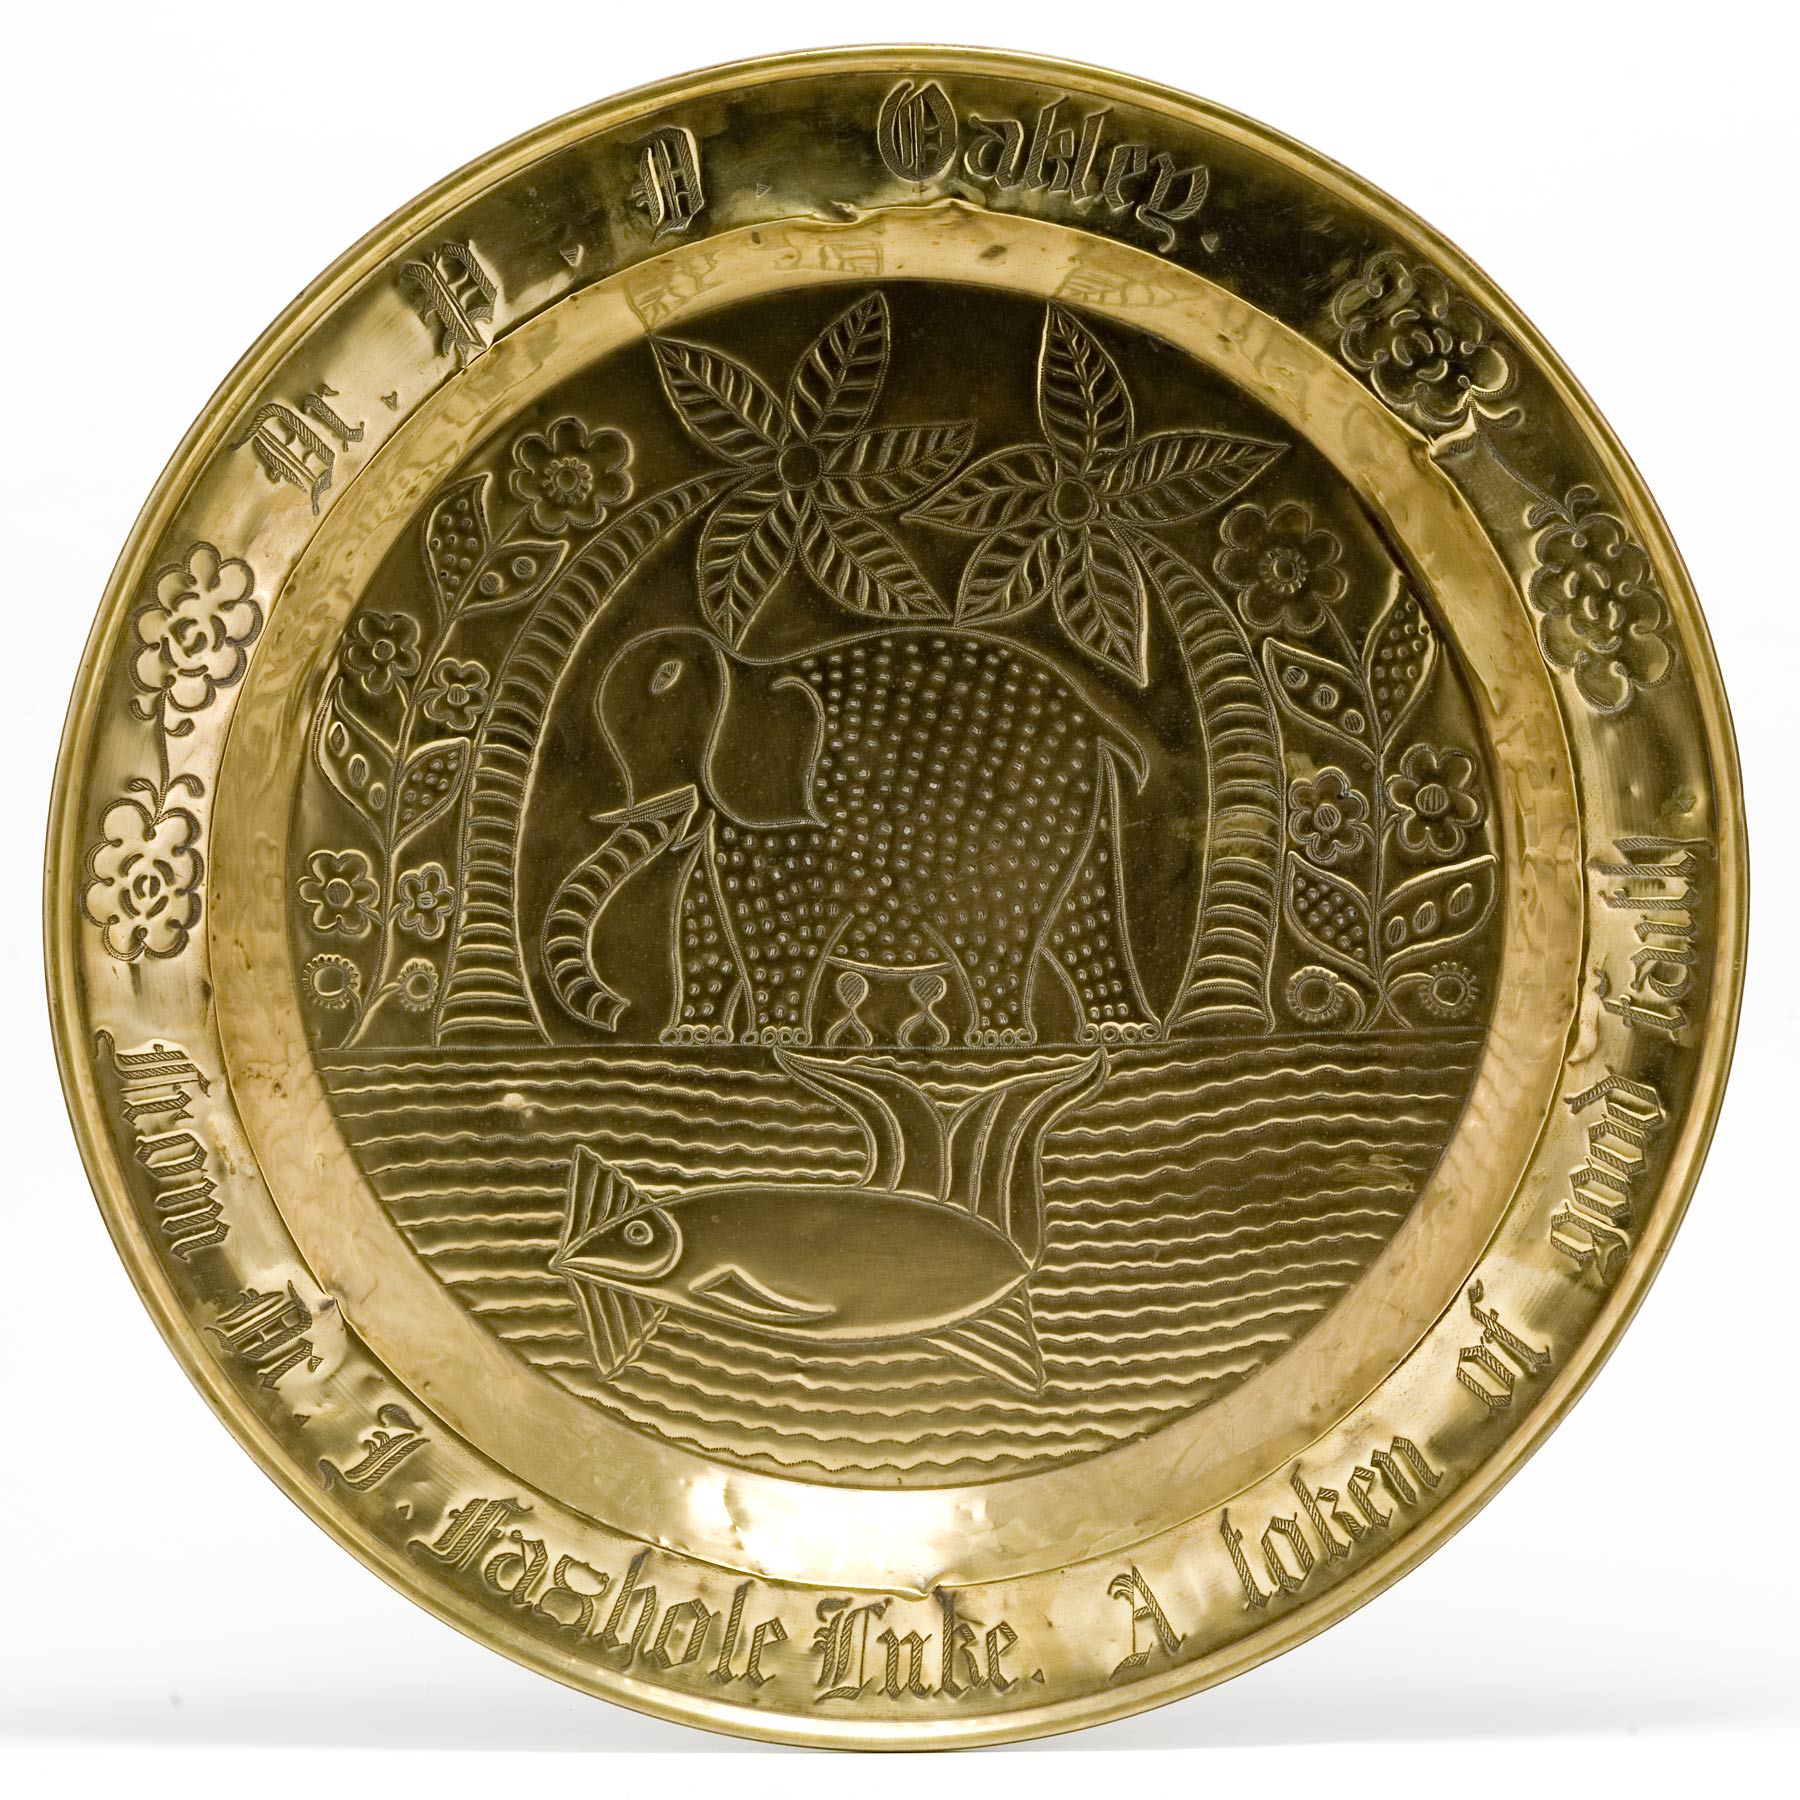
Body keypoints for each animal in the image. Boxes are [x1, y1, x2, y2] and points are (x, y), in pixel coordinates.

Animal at [541, 625, 1161, 1047]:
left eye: (665, 682)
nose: (616, 1011)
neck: (749, 670)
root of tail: (1100, 721)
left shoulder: (802, 813)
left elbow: (778, 922)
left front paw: (776, 1040)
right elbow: (705, 910)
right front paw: (697, 1038)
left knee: (994, 921)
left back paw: (1001, 1040)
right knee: (1085, 916)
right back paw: (1120, 1032)